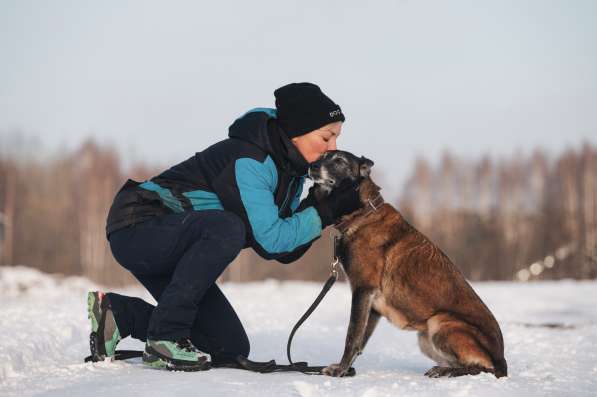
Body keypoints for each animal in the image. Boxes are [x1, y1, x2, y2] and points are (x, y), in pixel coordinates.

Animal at [308, 149, 508, 378]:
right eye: (322, 156)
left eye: (339, 160)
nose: (312, 166)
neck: (363, 213)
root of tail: (501, 359)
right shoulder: (372, 305)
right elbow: (361, 340)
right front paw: (347, 369)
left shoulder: (363, 290)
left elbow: (352, 335)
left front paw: (340, 370)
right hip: (425, 338)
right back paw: (442, 368)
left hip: (439, 322)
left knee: (484, 368)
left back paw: (447, 371)